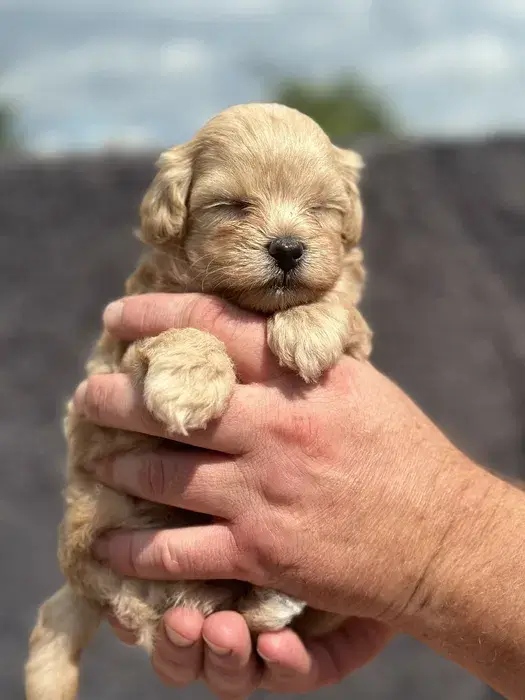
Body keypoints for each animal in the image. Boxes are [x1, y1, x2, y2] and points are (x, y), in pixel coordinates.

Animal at [23, 100, 368, 700]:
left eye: (320, 209)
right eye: (232, 206)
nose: (287, 247)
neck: (247, 305)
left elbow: (338, 299)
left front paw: (309, 325)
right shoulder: (127, 336)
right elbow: (185, 327)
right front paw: (191, 383)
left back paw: (272, 599)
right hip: (100, 520)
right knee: (111, 601)